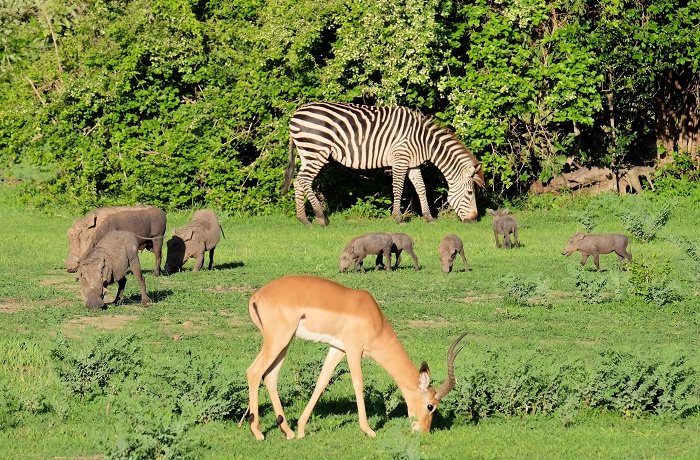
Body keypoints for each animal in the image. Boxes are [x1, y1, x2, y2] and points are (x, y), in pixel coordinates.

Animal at [243, 274, 468, 440]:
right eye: (431, 406)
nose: (424, 431)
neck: (374, 318)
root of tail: (256, 296)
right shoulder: (353, 349)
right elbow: (358, 382)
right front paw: (369, 430)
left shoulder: (338, 349)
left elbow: (322, 381)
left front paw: (301, 429)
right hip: (278, 340)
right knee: (254, 372)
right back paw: (258, 432)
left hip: (283, 343)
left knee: (270, 376)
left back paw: (288, 432)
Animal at [282, 103, 484, 227]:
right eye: (470, 193)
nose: (475, 220)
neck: (423, 141)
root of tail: (296, 113)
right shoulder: (400, 158)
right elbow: (398, 188)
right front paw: (399, 218)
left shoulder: (413, 163)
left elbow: (421, 188)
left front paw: (429, 217)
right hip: (317, 150)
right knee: (304, 180)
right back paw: (320, 217)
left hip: (307, 153)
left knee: (298, 181)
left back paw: (304, 219)